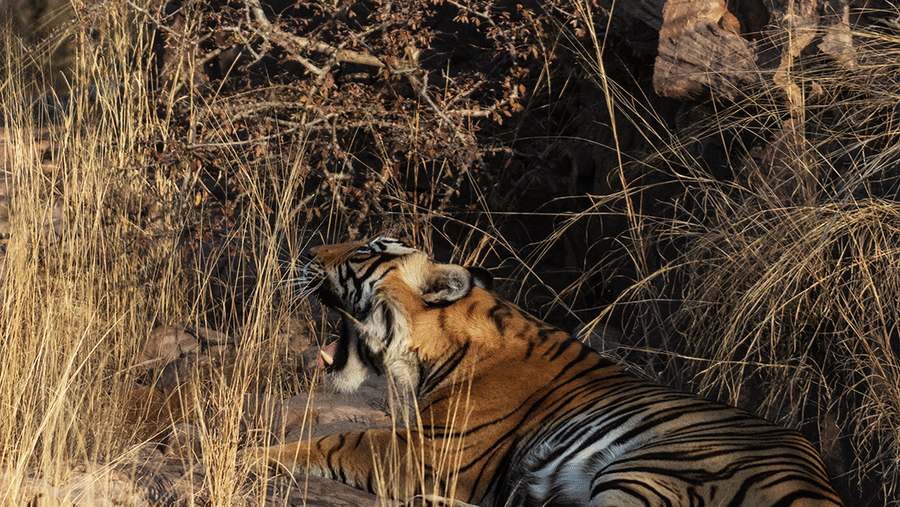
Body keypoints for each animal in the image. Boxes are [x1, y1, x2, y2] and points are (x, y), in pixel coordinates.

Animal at [245, 237, 844, 507]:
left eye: (364, 251)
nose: (307, 250)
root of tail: (816, 490)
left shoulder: (433, 450)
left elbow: (336, 439)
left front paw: (255, 455)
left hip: (652, 469)